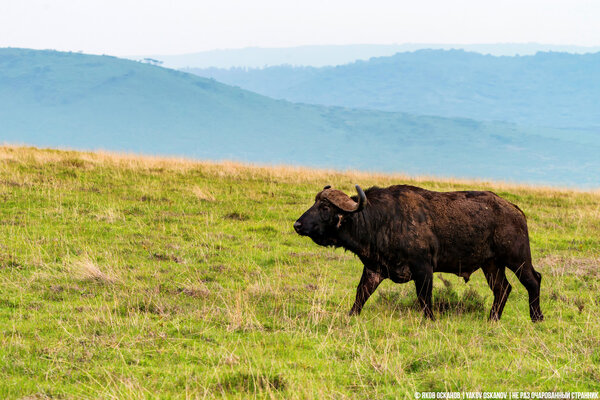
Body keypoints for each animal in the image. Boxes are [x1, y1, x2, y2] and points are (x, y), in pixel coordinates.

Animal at [294, 184, 544, 322]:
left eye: (325, 208)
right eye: (314, 203)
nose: (297, 225)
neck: (381, 220)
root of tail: (516, 211)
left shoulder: (423, 269)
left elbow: (424, 298)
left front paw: (430, 321)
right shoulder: (374, 269)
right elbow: (361, 295)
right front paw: (350, 316)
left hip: (517, 258)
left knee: (533, 280)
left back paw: (536, 318)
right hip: (491, 264)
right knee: (503, 289)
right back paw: (492, 319)